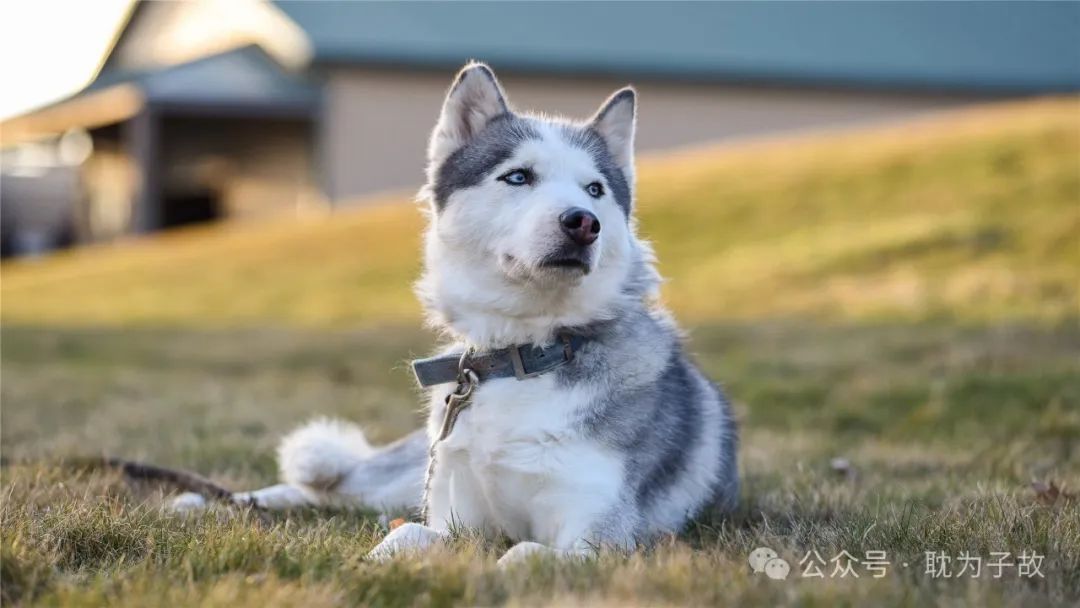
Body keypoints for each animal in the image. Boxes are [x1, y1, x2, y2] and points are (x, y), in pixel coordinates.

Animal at [190, 63, 738, 565]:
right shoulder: (454, 517)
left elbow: (520, 554)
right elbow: (406, 535)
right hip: (404, 474)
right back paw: (206, 502)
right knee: (330, 489)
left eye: (595, 189)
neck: (522, 355)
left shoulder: (600, 539)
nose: (584, 223)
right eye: (518, 176)